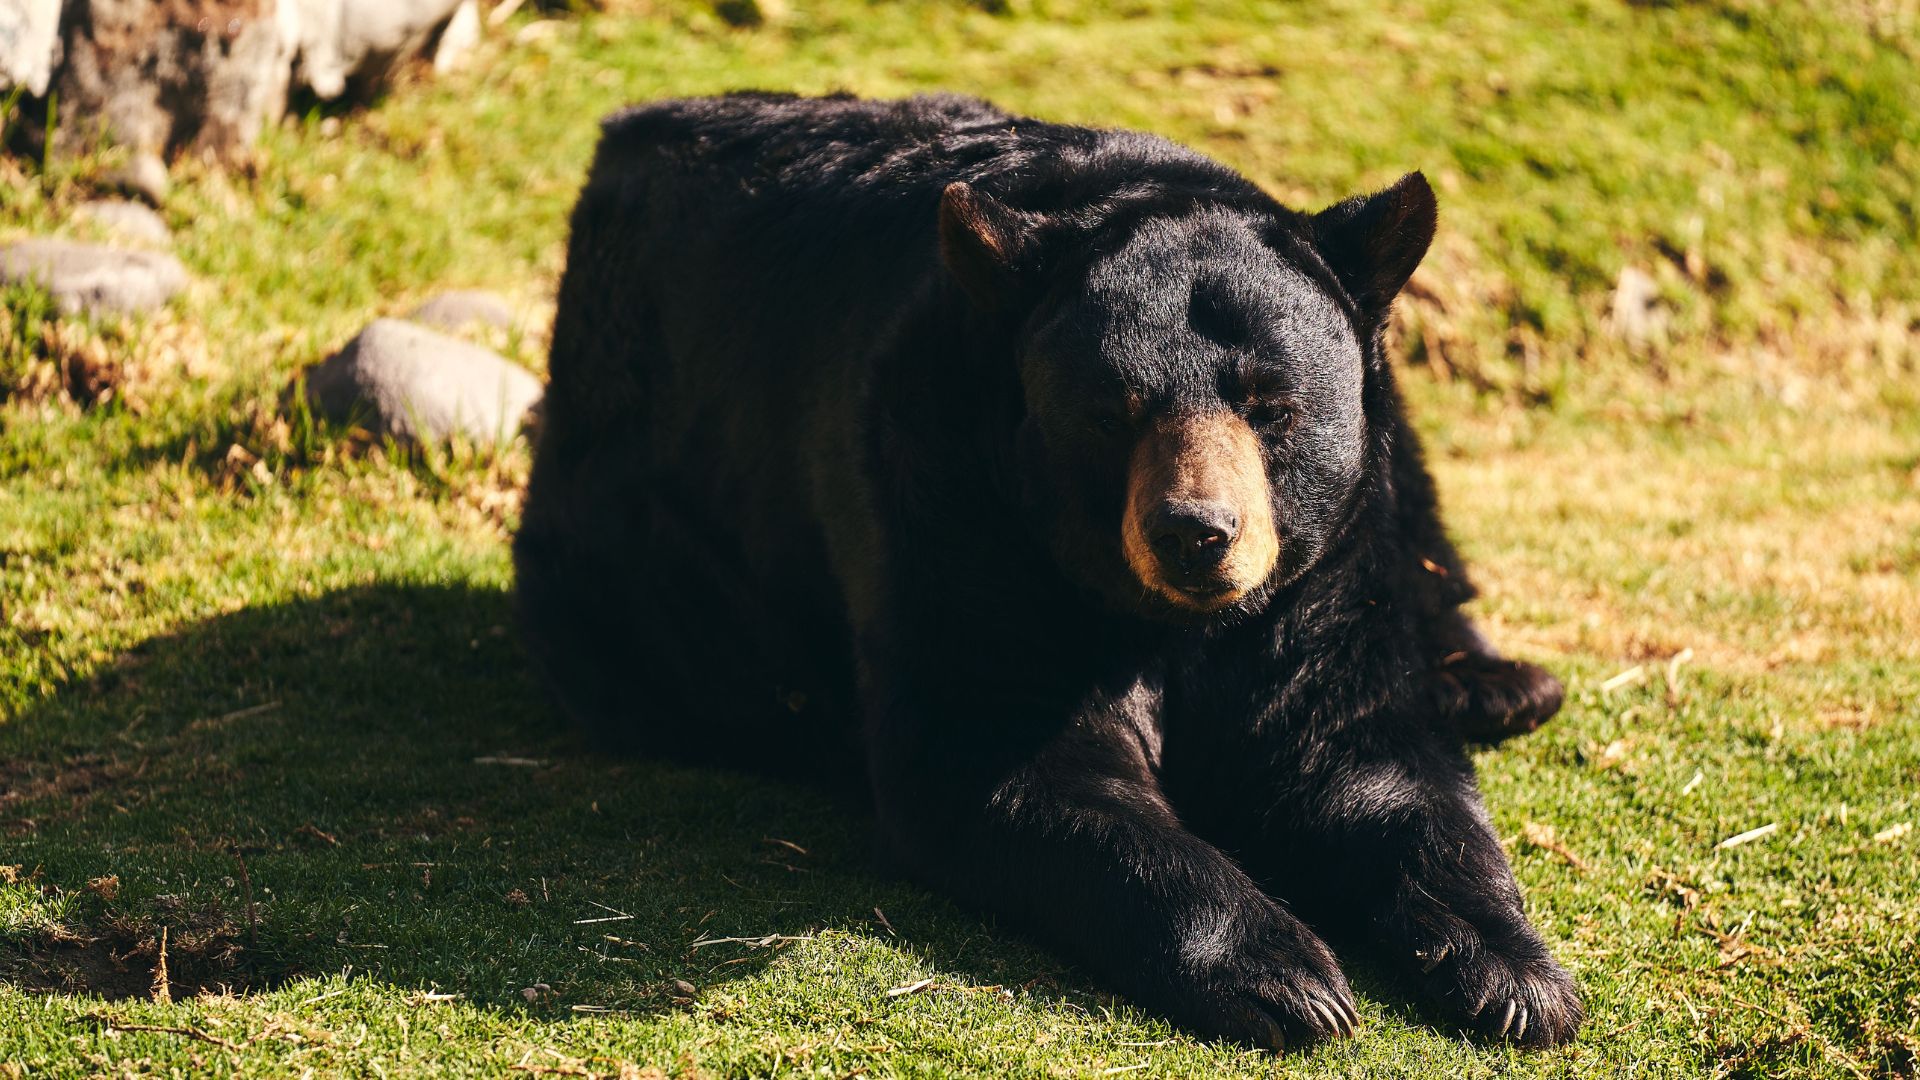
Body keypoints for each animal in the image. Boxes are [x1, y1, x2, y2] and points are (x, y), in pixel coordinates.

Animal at [514, 91, 1580, 1050]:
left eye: (1272, 406)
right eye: (1113, 413)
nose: (1198, 532)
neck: (1162, 619)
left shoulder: (1315, 576)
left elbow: (1356, 749)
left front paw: (1516, 973)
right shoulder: (952, 508)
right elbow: (1005, 758)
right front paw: (1285, 975)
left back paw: (1495, 683)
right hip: (623, 537)